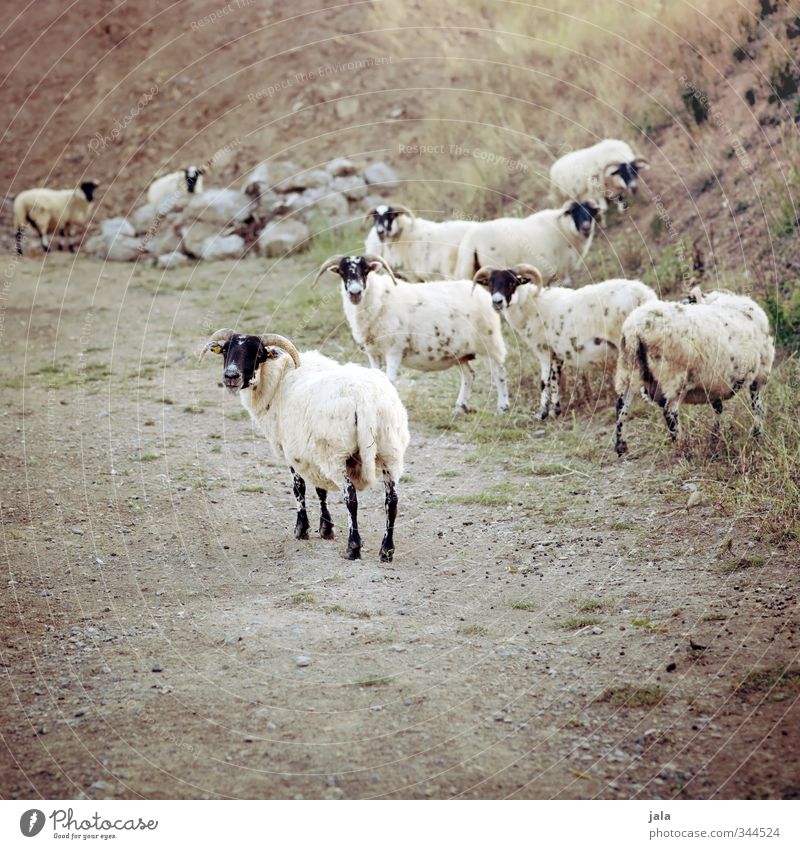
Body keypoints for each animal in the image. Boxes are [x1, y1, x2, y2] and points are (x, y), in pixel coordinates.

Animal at [200, 328, 412, 560]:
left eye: (258, 353)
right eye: (225, 350)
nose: (231, 376)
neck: (278, 379)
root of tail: (365, 401)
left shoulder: (293, 449)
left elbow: (299, 488)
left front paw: (302, 529)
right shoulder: (310, 452)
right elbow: (320, 489)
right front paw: (325, 528)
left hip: (336, 454)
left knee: (351, 497)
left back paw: (353, 548)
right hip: (390, 450)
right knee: (392, 500)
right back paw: (387, 550)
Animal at [310, 252, 506, 414]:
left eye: (365, 270)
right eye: (342, 272)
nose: (355, 292)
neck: (378, 300)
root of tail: (482, 292)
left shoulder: (394, 350)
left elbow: (389, 381)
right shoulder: (373, 353)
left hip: (491, 343)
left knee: (499, 374)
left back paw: (502, 408)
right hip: (460, 352)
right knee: (469, 375)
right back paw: (460, 408)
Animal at [456, 201, 600, 284]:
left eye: (591, 212)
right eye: (573, 213)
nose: (586, 227)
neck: (563, 229)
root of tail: (471, 241)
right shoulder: (555, 273)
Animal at [472, 264, 652, 420]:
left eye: (512, 282)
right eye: (490, 283)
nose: (497, 302)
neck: (531, 305)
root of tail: (643, 294)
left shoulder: (543, 351)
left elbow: (543, 382)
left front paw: (541, 414)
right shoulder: (557, 354)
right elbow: (554, 380)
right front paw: (555, 411)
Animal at [612, 284, 776, 458]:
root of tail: (636, 330)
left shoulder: (714, 381)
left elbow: (718, 407)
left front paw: (716, 435)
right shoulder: (760, 374)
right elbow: (757, 406)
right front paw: (757, 434)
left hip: (628, 369)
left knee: (621, 405)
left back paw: (621, 446)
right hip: (673, 377)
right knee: (670, 412)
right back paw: (682, 447)